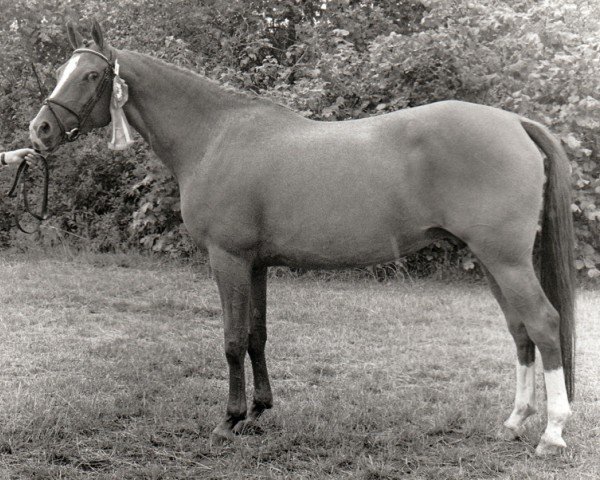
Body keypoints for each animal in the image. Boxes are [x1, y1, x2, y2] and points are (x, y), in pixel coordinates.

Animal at [29, 20, 576, 456]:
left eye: (91, 75)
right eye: (62, 71)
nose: (40, 130)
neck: (215, 137)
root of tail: (515, 122)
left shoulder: (227, 260)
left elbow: (231, 340)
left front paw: (228, 420)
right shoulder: (255, 264)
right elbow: (257, 335)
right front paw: (257, 412)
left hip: (506, 260)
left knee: (544, 324)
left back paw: (552, 434)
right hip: (491, 261)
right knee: (520, 332)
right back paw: (513, 423)